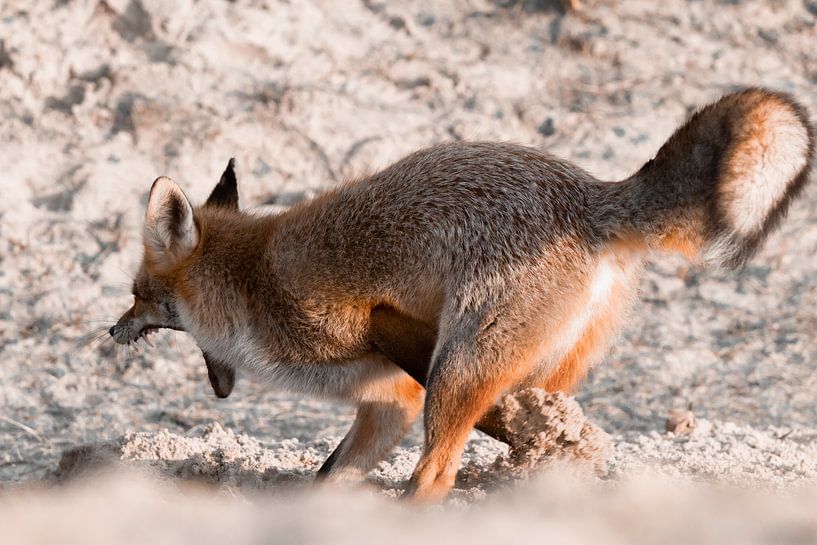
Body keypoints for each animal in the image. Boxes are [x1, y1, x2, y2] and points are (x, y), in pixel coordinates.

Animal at [111, 89, 812, 502]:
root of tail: (592, 195)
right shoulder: (387, 402)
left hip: (461, 364)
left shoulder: (373, 325)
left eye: (138, 294)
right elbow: (332, 474)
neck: (251, 285)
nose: (112, 329)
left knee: (435, 474)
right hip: (547, 369)